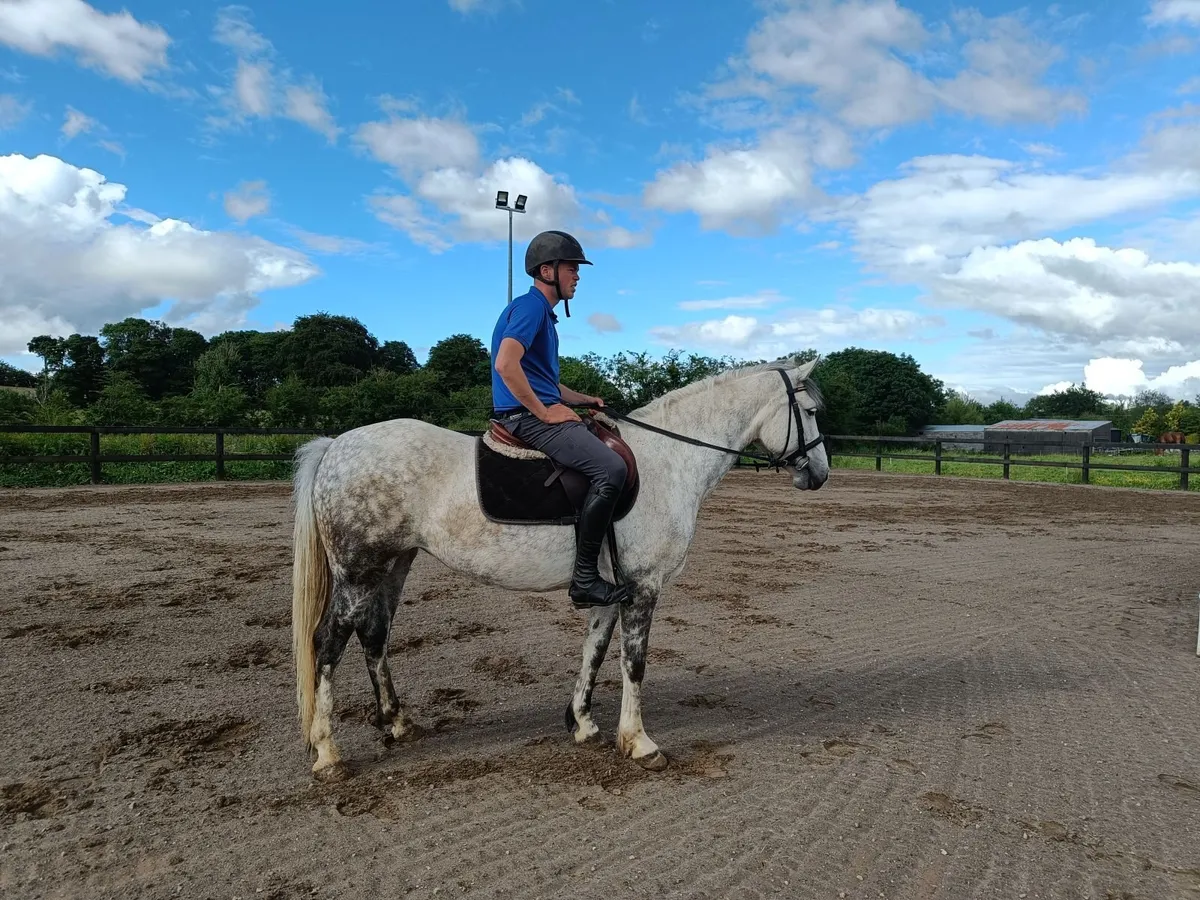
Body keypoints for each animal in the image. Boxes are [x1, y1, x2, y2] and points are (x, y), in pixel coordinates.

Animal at [289, 357, 829, 777]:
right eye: (809, 411)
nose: (819, 474)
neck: (669, 459)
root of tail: (336, 446)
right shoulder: (644, 586)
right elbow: (633, 662)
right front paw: (639, 742)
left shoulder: (612, 589)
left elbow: (595, 648)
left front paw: (583, 723)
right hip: (358, 571)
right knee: (329, 642)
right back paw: (329, 753)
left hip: (393, 565)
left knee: (374, 634)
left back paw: (397, 723)